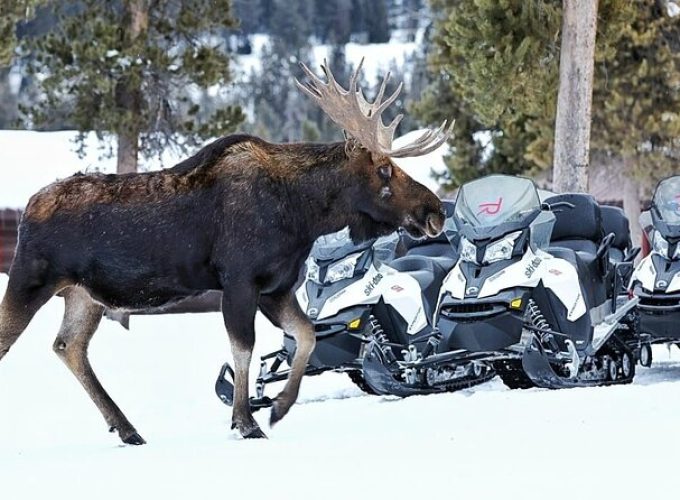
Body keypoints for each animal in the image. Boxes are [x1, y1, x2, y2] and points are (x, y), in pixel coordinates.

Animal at [0, 60, 452, 444]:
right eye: (384, 170)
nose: (434, 211)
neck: (301, 215)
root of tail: (26, 210)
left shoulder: (276, 287)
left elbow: (305, 335)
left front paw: (279, 408)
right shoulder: (239, 280)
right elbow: (244, 349)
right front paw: (246, 422)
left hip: (83, 293)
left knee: (68, 345)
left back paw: (127, 428)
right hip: (30, 278)